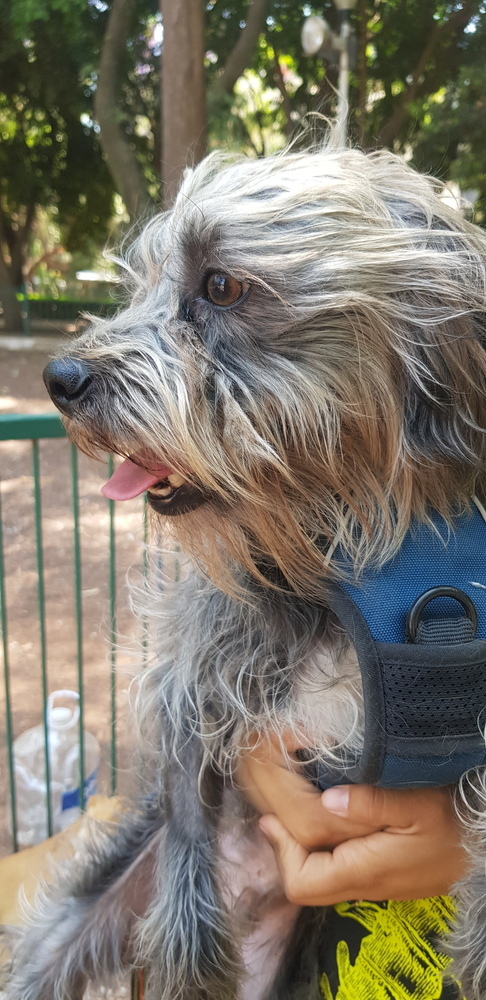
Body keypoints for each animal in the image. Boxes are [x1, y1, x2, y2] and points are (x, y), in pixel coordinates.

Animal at [6, 143, 486, 1000]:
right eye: (145, 281)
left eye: (221, 285)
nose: (60, 378)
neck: (346, 539)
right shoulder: (188, 676)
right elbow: (187, 816)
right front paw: (188, 949)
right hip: (81, 919)